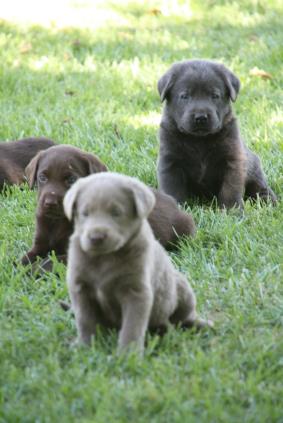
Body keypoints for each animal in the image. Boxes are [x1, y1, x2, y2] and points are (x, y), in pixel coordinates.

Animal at [22, 145, 196, 268]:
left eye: (71, 180)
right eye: (42, 177)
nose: (50, 203)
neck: (58, 221)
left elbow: (48, 263)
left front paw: (32, 270)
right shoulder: (40, 244)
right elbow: (25, 258)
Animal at [63, 172, 212, 354]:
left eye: (116, 212)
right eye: (85, 213)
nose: (96, 237)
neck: (104, 258)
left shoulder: (136, 292)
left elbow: (132, 325)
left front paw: (128, 354)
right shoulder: (80, 288)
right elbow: (85, 320)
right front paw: (85, 346)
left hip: (181, 286)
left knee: (184, 317)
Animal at [159, 60, 278, 210]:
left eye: (214, 96)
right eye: (185, 96)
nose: (201, 118)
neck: (199, 140)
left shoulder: (233, 161)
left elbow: (230, 189)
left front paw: (231, 211)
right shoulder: (170, 163)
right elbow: (172, 190)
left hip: (254, 168)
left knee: (259, 186)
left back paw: (267, 200)